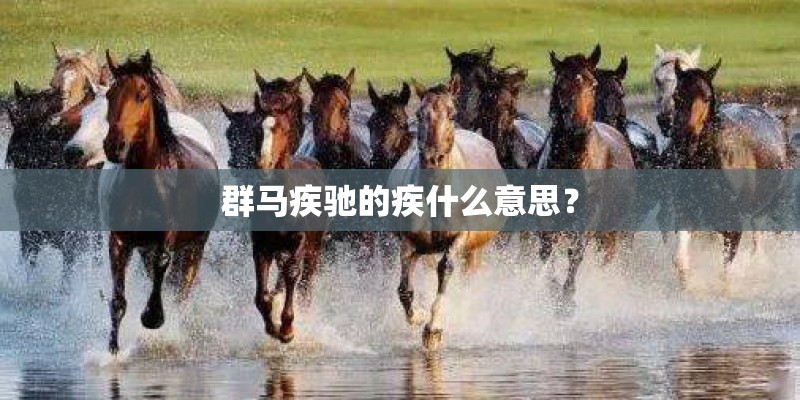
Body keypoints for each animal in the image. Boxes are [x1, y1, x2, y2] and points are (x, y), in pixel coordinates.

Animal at [102, 50, 218, 354]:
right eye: (109, 94)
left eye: (141, 94)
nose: (114, 146)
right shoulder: (121, 240)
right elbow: (118, 299)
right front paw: (113, 350)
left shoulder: (168, 237)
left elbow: (163, 264)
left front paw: (153, 317)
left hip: (196, 245)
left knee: (183, 287)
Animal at [221, 90, 324, 343]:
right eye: (257, 130)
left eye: (283, 129)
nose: (263, 163)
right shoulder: (262, 245)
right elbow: (261, 294)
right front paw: (272, 326)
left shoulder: (299, 240)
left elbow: (292, 274)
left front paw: (287, 328)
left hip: (314, 248)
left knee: (306, 281)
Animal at [392, 76, 503, 350]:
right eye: (419, 114)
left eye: (452, 114)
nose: (432, 158)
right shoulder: (409, 243)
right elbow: (404, 291)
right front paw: (420, 315)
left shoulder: (459, 239)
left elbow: (446, 269)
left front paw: (433, 329)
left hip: (475, 250)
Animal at [537, 45, 635, 313]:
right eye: (561, 84)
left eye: (592, 84)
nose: (579, 126)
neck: (572, 161)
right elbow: (547, 253)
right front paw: (552, 292)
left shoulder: (590, 217)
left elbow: (576, 252)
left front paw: (567, 300)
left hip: (614, 229)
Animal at [665, 59, 789, 292]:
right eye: (676, 96)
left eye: (706, 98)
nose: (687, 139)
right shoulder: (686, 210)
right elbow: (680, 260)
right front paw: (689, 286)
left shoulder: (734, 222)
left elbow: (725, 269)